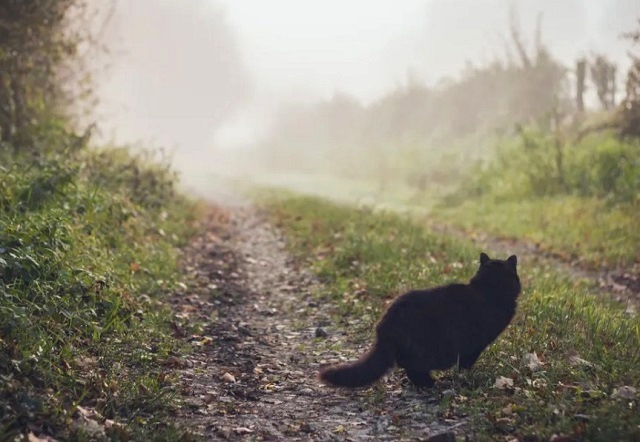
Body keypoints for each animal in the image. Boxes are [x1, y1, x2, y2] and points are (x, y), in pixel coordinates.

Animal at [318, 254, 520, 388]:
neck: (488, 290)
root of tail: (384, 327)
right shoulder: (473, 345)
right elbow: (465, 364)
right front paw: (466, 377)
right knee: (411, 366)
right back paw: (428, 383)